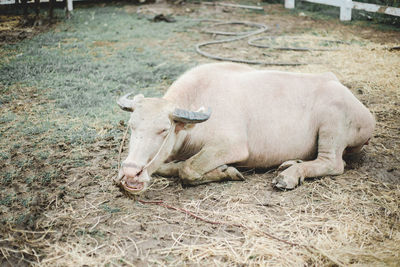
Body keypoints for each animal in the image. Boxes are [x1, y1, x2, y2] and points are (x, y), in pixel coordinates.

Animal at [115, 62, 376, 195]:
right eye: (132, 126)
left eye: (163, 130)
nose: (130, 173)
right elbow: (167, 167)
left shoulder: (232, 146)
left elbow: (187, 170)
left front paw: (227, 171)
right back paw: (289, 164)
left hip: (331, 126)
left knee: (332, 163)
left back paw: (288, 176)